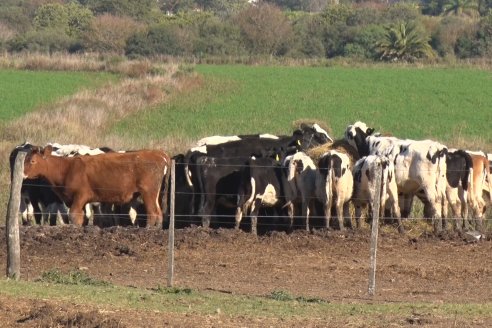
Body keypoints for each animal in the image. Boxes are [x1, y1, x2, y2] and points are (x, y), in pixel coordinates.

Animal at [23, 145, 171, 227]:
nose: (23, 174)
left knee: (152, 212)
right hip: (155, 194)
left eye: (32, 161)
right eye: (24, 160)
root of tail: (159, 154)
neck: (67, 168)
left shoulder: (80, 196)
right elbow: (81, 217)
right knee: (159, 212)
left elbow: (74, 216)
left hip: (148, 192)